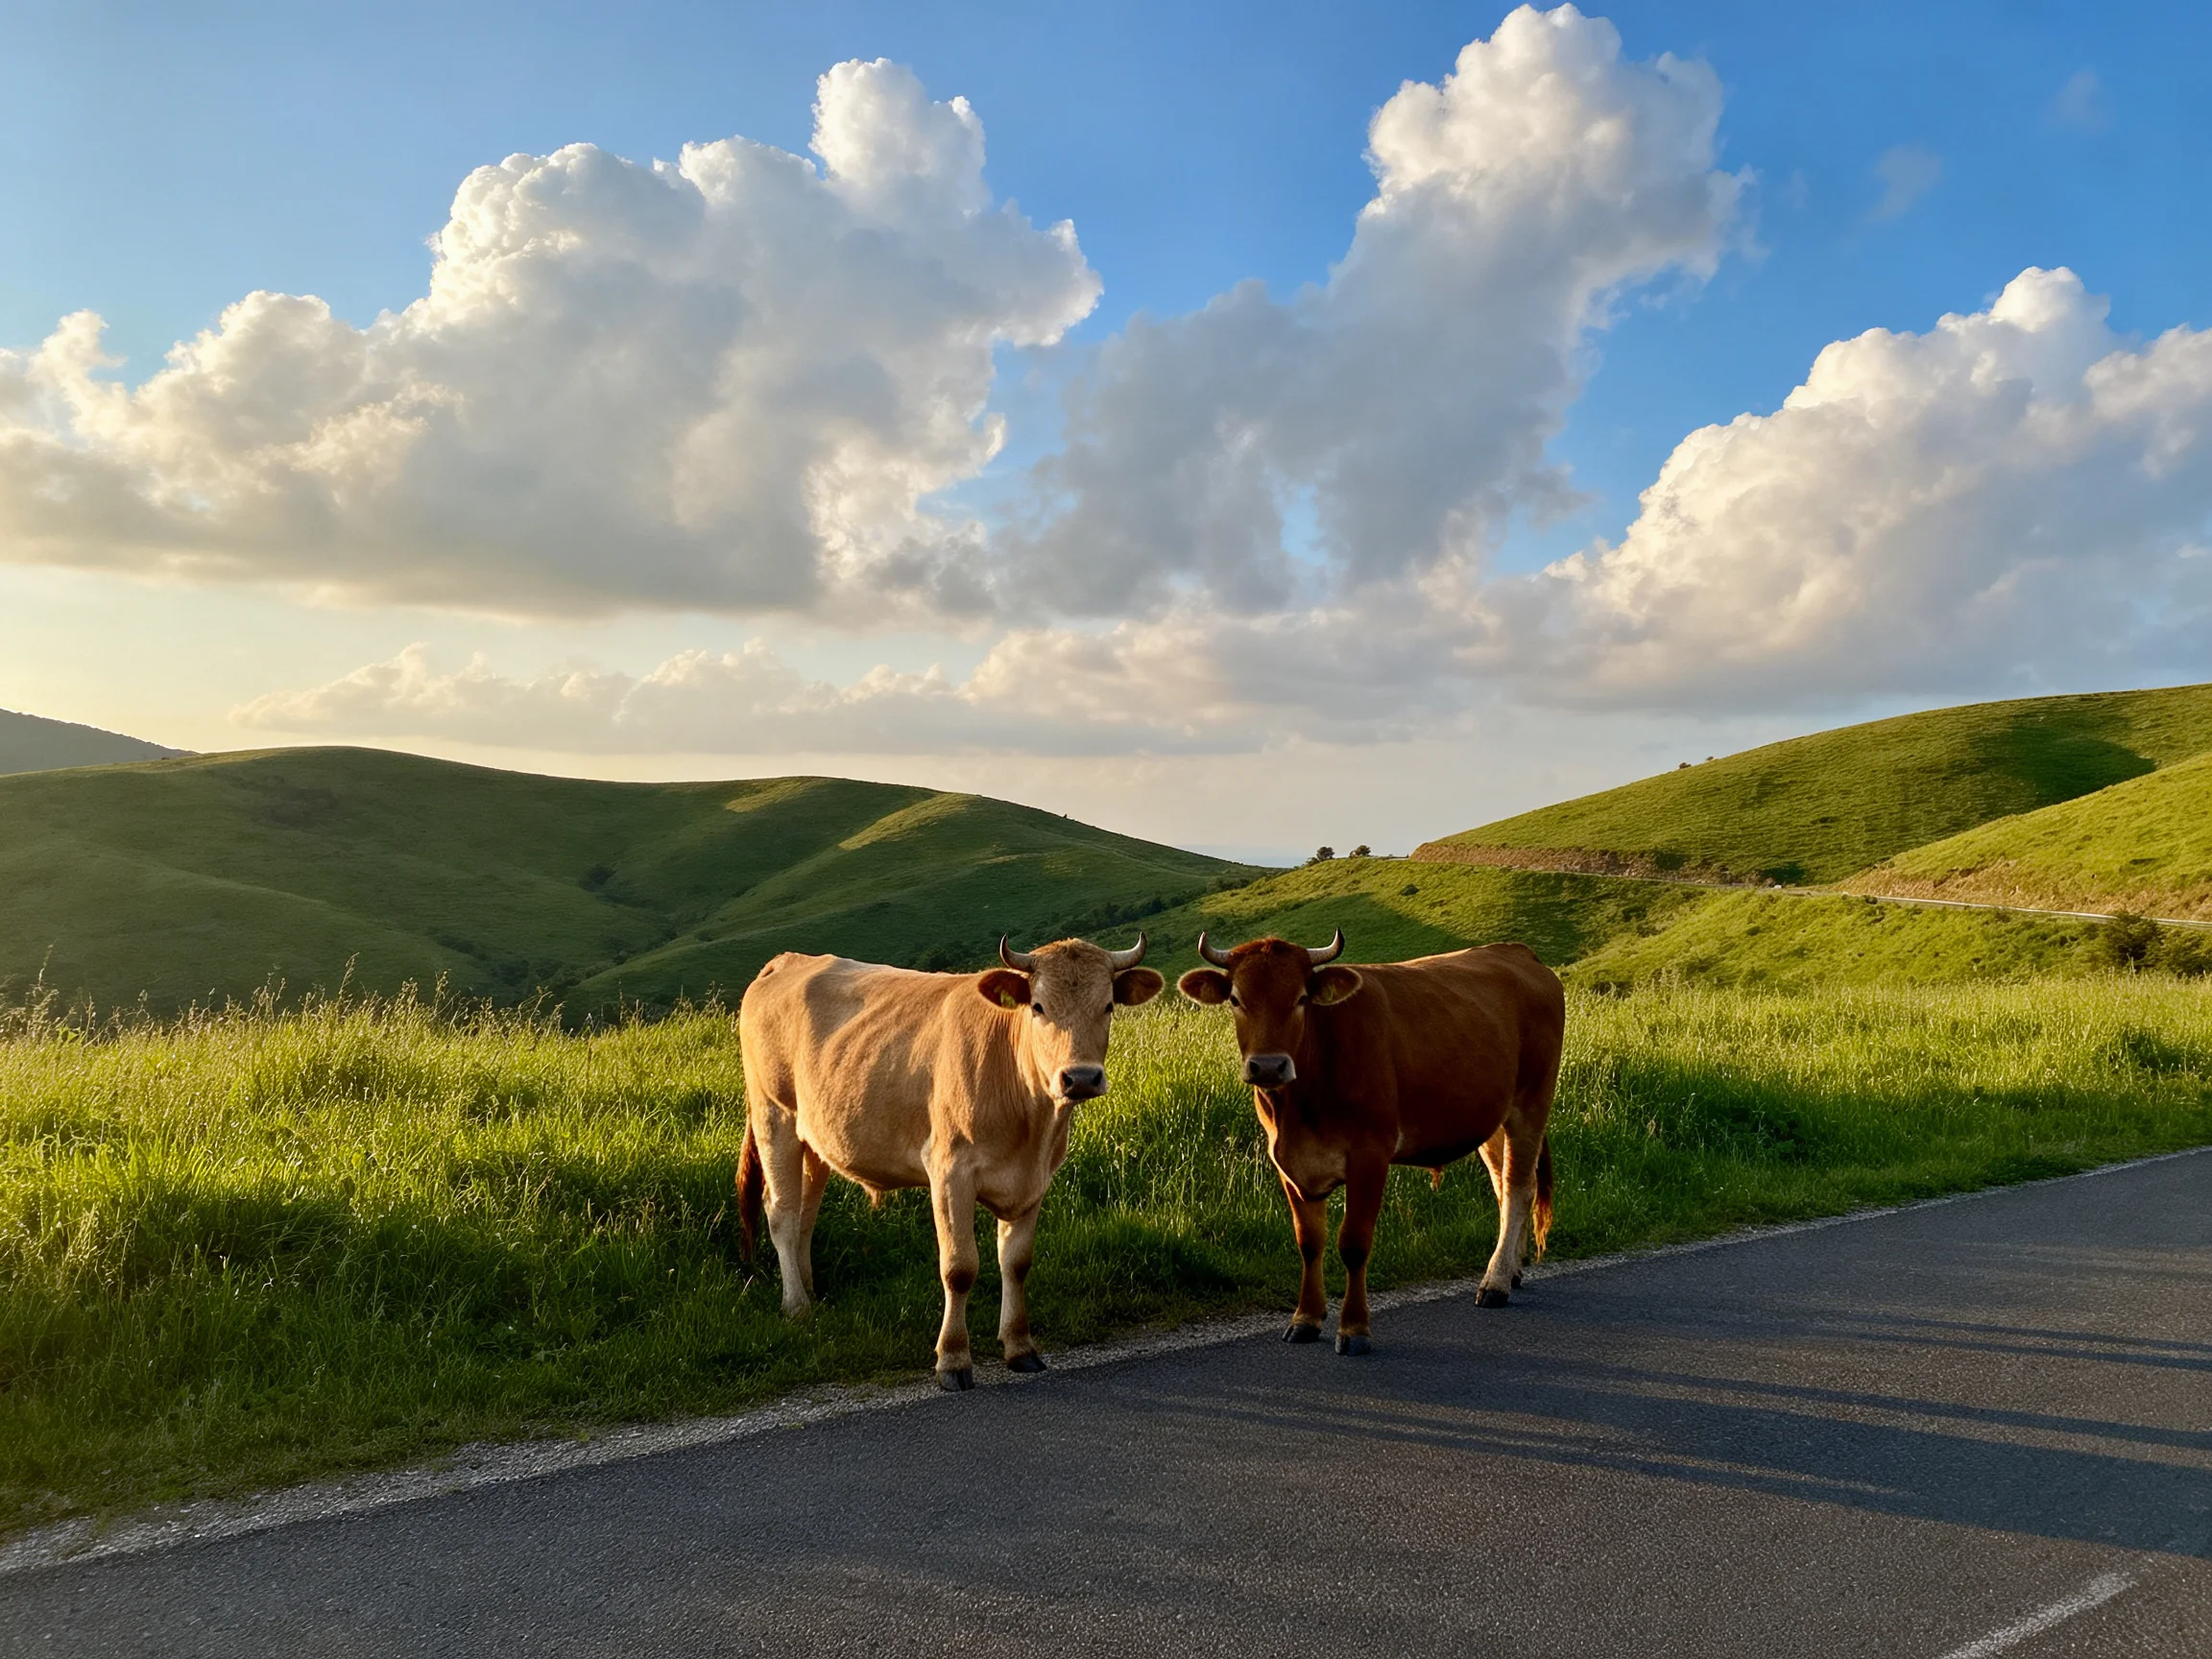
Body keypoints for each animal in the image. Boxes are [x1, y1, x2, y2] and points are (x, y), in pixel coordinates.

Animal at [737, 934, 1164, 1390]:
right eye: (1038, 1006)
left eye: (1108, 1006)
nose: (1080, 1077)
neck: (1030, 1120)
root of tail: (788, 960)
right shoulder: (949, 1172)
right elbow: (959, 1268)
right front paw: (953, 1359)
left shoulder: (1034, 1181)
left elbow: (1017, 1263)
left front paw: (1020, 1347)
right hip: (774, 1113)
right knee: (781, 1212)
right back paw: (796, 1305)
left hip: (815, 1136)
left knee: (806, 1212)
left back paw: (809, 1291)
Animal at [1177, 931, 1564, 1353]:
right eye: (1235, 999)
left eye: (1301, 998)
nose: (1267, 1066)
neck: (1300, 1107)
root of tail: (1517, 952)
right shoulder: (1287, 1162)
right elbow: (1309, 1242)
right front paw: (1305, 1319)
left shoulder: (1370, 1155)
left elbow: (1353, 1243)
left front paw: (1353, 1328)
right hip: (1490, 1119)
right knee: (1503, 1185)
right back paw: (1511, 1270)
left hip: (1532, 1101)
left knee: (1519, 1187)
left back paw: (1495, 1283)